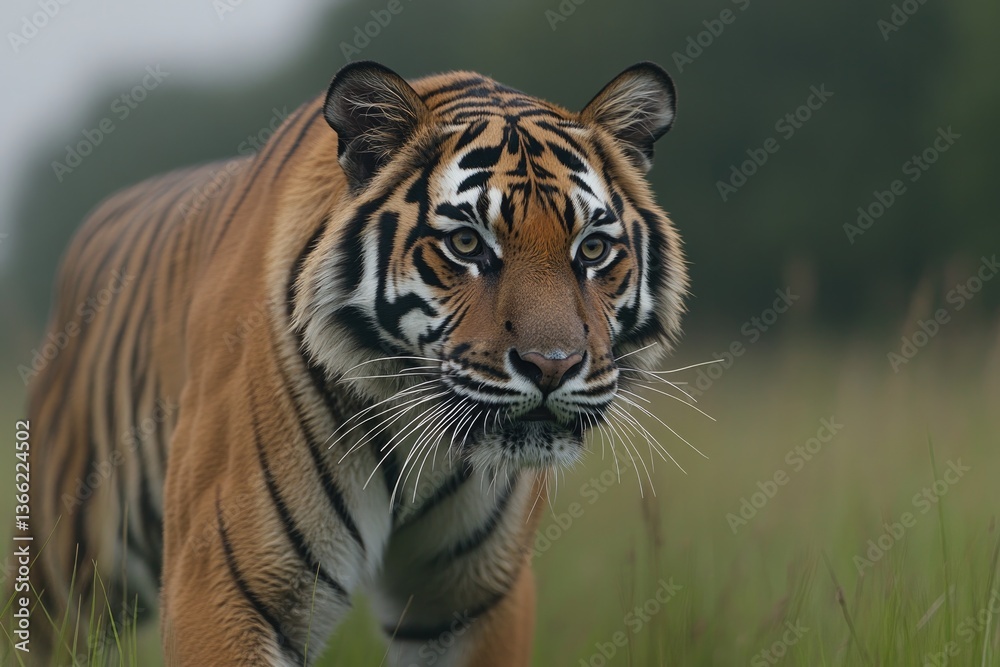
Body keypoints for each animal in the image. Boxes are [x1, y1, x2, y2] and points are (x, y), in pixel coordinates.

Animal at [11, 60, 687, 666]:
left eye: (592, 250)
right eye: (467, 243)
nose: (553, 366)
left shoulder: (474, 597)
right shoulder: (224, 585)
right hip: (65, 575)